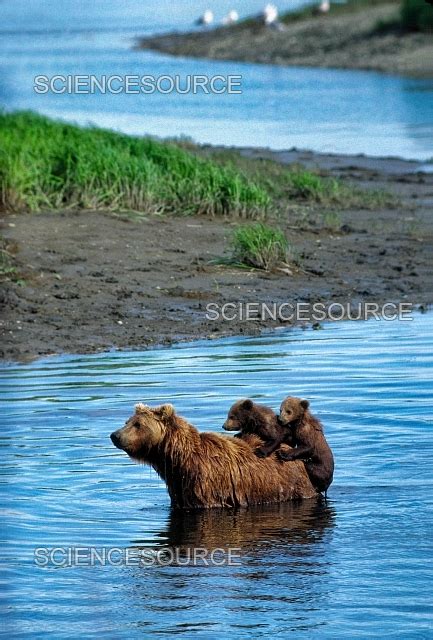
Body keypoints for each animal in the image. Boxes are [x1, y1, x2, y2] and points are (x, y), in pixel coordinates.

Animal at [109, 402, 316, 508]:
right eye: (127, 421)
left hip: (291, 486)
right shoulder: (179, 486)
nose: (115, 435)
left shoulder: (207, 487)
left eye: (138, 424)